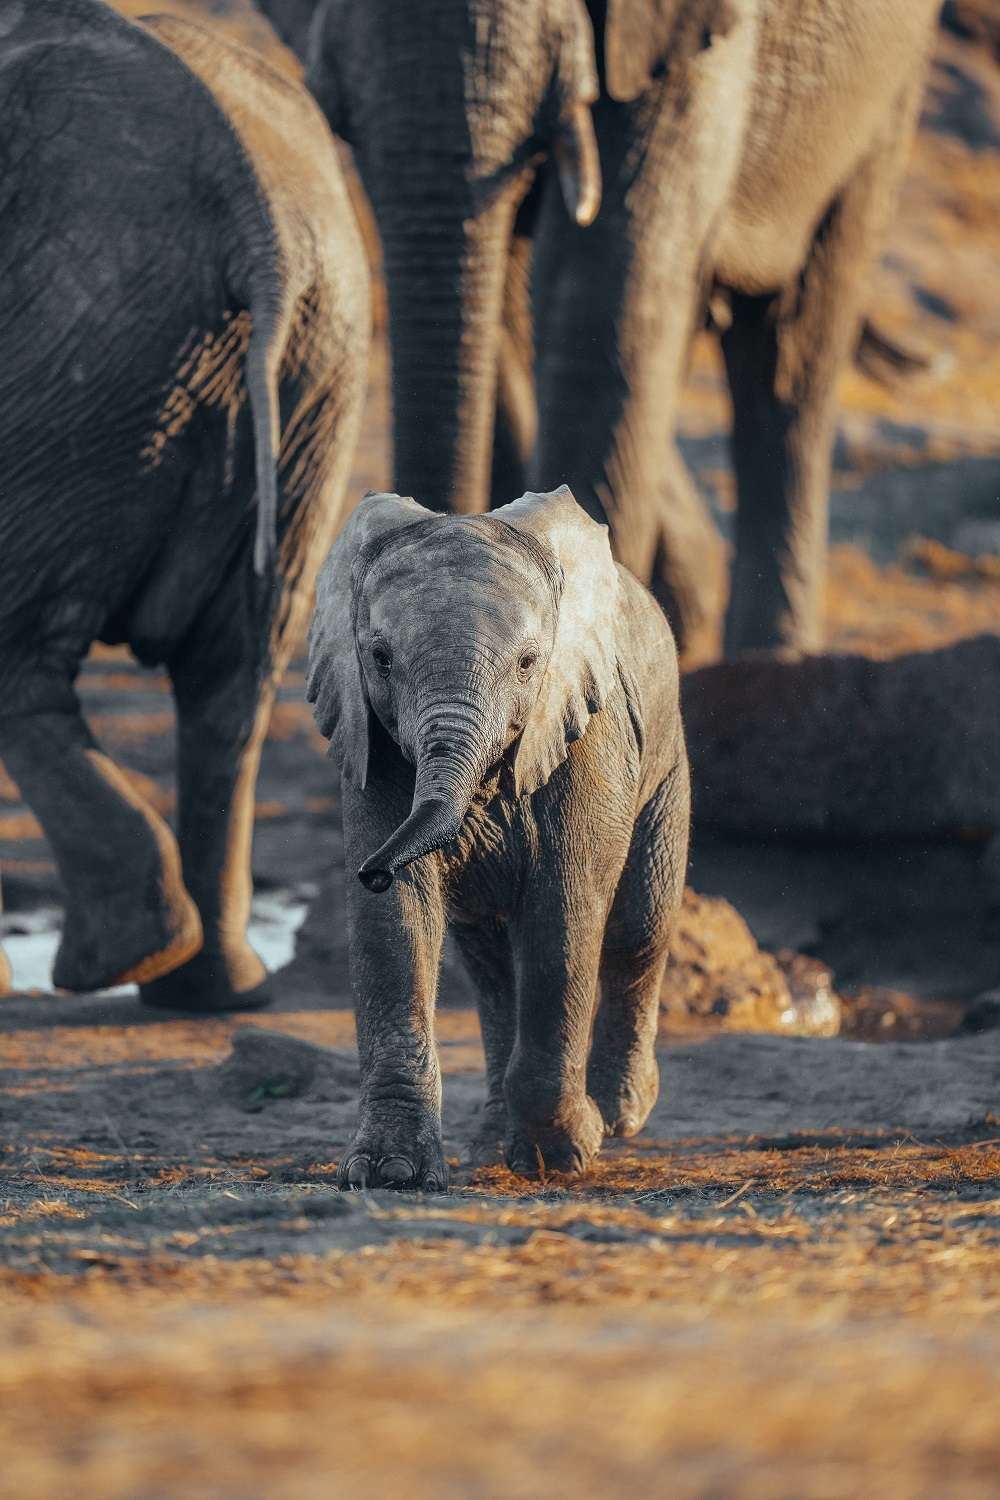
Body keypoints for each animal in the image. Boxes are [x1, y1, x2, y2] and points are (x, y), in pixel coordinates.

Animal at [0, 2, 367, 1008]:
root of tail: (256, 222)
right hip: (318, 366)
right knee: (235, 676)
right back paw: (207, 986)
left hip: (75, 341)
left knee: (21, 659)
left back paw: (124, 962)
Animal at [308, 486, 692, 1188]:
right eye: (379, 659)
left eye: (528, 665)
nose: (372, 870)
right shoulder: (370, 742)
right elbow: (393, 927)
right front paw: (389, 1173)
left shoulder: (586, 732)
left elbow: (563, 914)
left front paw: (570, 1152)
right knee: (488, 967)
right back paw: (493, 1147)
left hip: (666, 761)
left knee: (638, 928)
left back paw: (618, 1116)